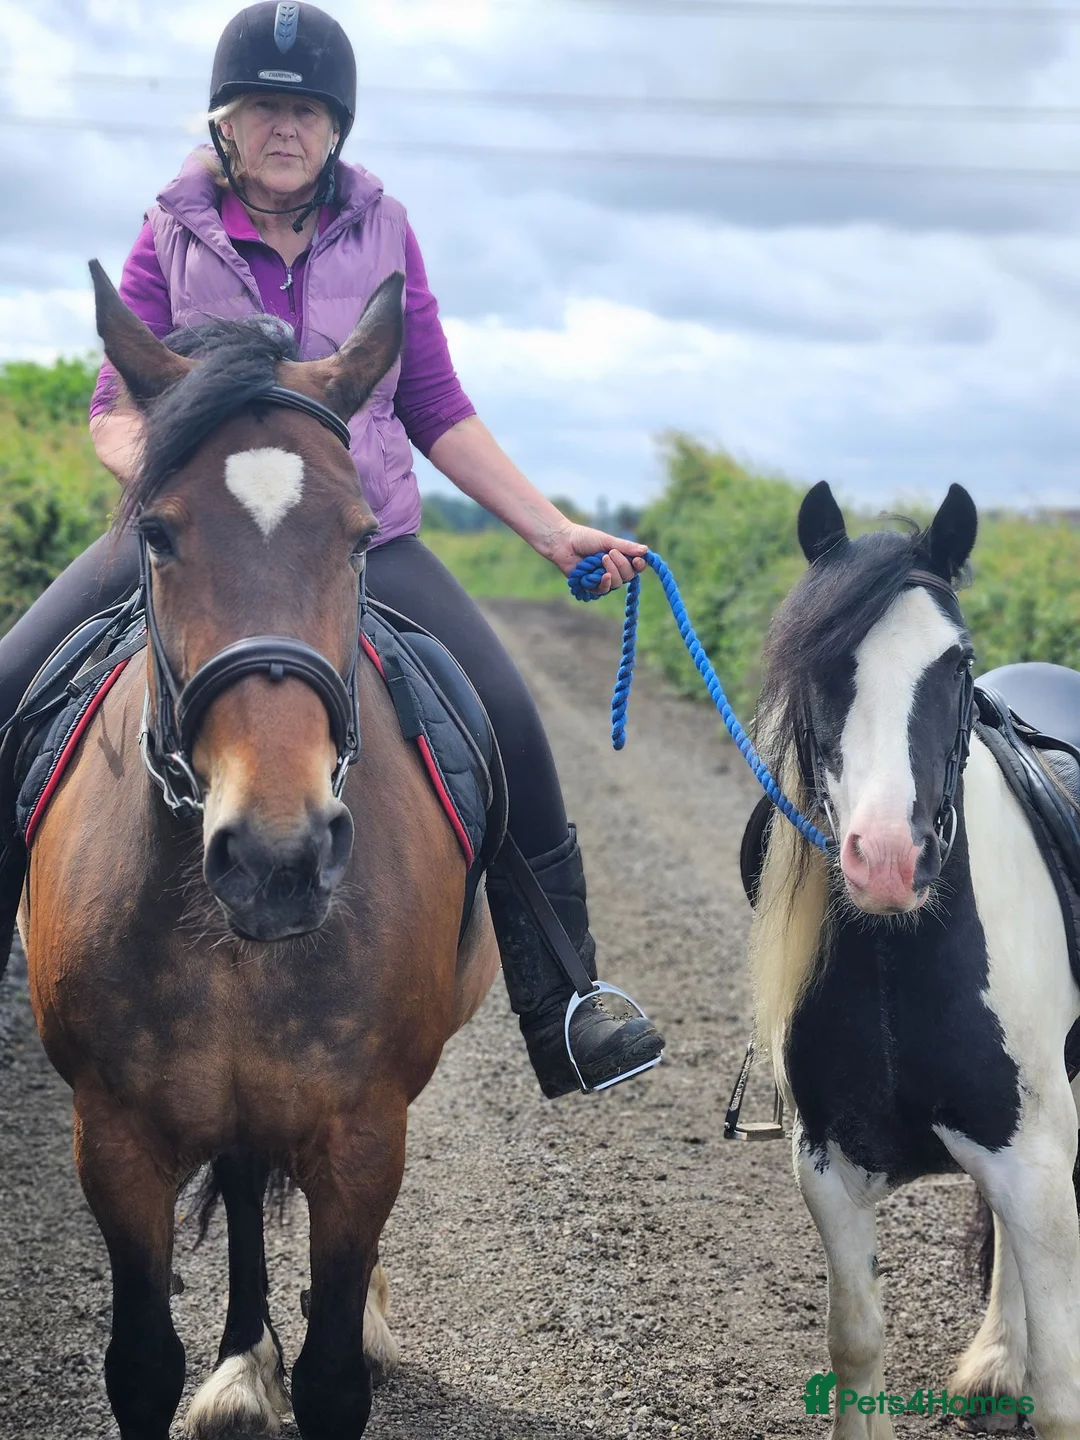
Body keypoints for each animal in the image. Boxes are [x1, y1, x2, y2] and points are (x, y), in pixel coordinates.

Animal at [16, 263, 501, 1440]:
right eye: (157, 534)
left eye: (362, 537)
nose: (279, 857)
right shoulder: (116, 1138)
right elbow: (140, 1367)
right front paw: (233, 1364)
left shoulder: (362, 1134)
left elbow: (333, 1381)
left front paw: (337, 1332)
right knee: (239, 1185)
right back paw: (240, 1365)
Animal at [747, 481, 1080, 1439]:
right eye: (821, 661)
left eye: (957, 663)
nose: (889, 860)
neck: (903, 964)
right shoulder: (829, 1167)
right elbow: (856, 1346)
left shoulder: (1037, 1166)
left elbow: (1062, 1396)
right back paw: (997, 1359)